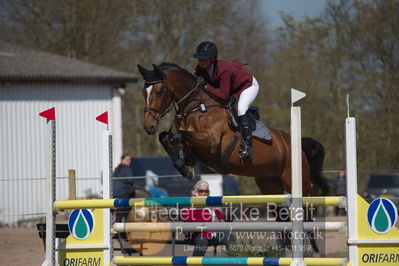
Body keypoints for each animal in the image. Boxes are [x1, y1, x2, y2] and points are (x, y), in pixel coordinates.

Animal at [138, 61, 328, 195]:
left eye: (159, 92)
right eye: (143, 93)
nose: (149, 126)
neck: (197, 107)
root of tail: (297, 146)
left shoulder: (210, 143)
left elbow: (178, 135)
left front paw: (185, 167)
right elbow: (165, 136)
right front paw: (184, 166)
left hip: (296, 182)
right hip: (269, 183)